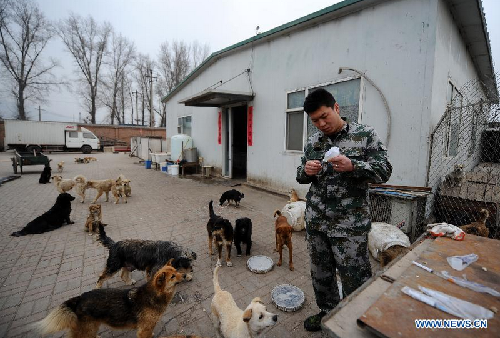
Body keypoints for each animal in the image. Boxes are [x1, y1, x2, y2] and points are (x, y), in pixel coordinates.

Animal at [37, 262, 185, 338]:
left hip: (92, 326)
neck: (153, 295)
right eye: (172, 276)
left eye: (176, 270)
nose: (184, 275)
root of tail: (79, 298)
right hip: (88, 328)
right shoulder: (144, 330)